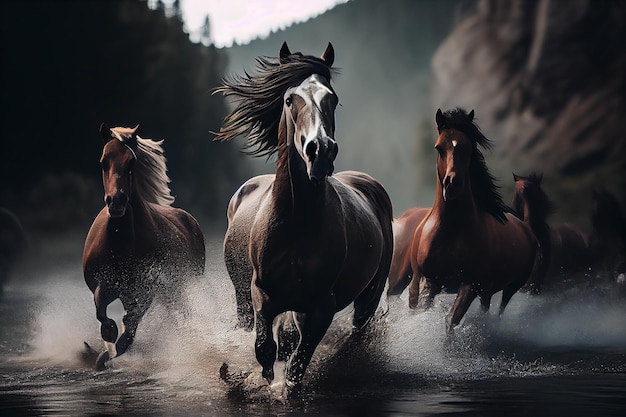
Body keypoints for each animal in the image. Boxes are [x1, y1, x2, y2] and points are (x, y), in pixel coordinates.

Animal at [81, 122, 204, 368]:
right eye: (103, 161)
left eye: (131, 162)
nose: (116, 202)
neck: (120, 242)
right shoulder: (103, 285)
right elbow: (104, 316)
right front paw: (107, 344)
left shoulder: (143, 292)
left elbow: (129, 329)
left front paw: (109, 352)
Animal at [213, 42, 390, 394]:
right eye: (289, 99)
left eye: (332, 98)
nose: (319, 150)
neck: (295, 223)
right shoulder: (262, 294)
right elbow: (265, 348)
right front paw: (257, 380)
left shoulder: (319, 308)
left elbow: (297, 365)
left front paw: (278, 387)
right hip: (241, 298)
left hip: (368, 297)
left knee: (356, 331)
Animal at [404, 109, 544, 334]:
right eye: (439, 147)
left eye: (469, 147)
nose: (452, 184)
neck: (449, 230)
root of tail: (525, 226)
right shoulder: (428, 281)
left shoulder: (469, 285)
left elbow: (450, 320)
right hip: (487, 289)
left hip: (509, 287)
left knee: (498, 309)